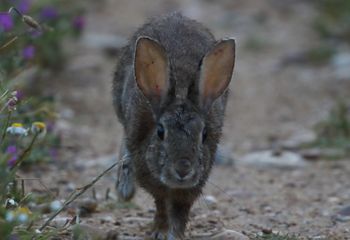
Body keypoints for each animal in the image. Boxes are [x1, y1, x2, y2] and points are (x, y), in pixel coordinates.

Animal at [113, 12, 235, 239]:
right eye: (160, 132)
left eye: (204, 134)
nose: (183, 169)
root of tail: (175, 16)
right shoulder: (153, 181)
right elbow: (161, 204)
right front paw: (160, 232)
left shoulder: (193, 184)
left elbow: (180, 211)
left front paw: (176, 235)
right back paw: (124, 189)